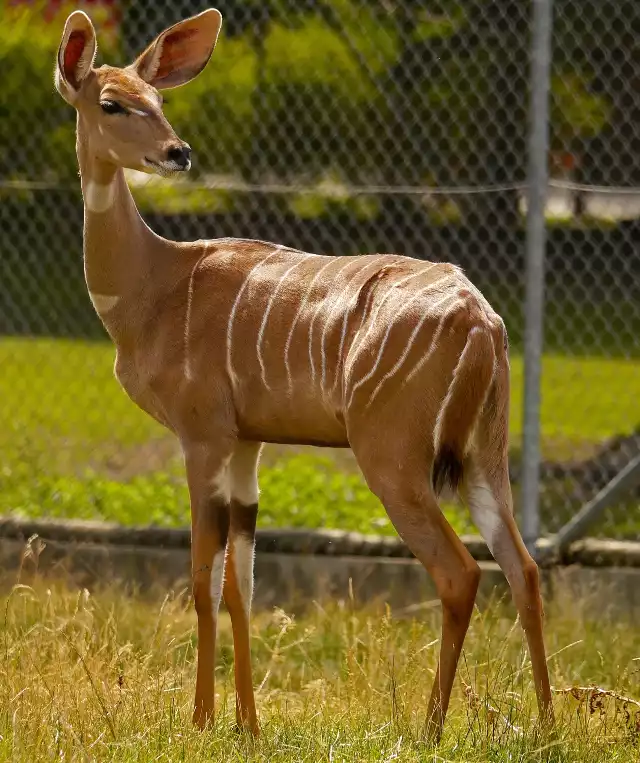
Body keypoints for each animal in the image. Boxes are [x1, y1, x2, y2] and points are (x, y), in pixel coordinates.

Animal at [56, 7, 556, 740]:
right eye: (113, 102)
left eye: (158, 101)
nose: (177, 153)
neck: (156, 285)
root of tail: (482, 321)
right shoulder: (247, 442)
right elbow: (241, 582)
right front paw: (247, 724)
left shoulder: (202, 434)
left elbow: (201, 575)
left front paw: (201, 719)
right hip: (483, 457)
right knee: (524, 567)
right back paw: (546, 723)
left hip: (393, 458)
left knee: (461, 571)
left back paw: (429, 728)